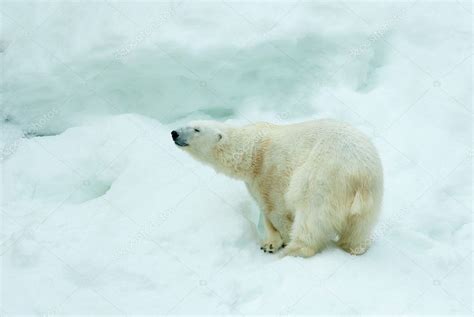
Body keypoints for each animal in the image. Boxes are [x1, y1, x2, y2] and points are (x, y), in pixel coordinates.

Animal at [172, 119, 384, 256]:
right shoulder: (256, 180)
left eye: (196, 129)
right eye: (188, 123)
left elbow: (275, 210)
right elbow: (264, 210)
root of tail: (359, 176)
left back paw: (294, 250)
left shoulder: (270, 171)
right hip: (373, 192)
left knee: (310, 216)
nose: (174, 133)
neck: (253, 150)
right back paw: (353, 247)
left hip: (323, 178)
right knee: (359, 227)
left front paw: (281, 241)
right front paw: (270, 244)